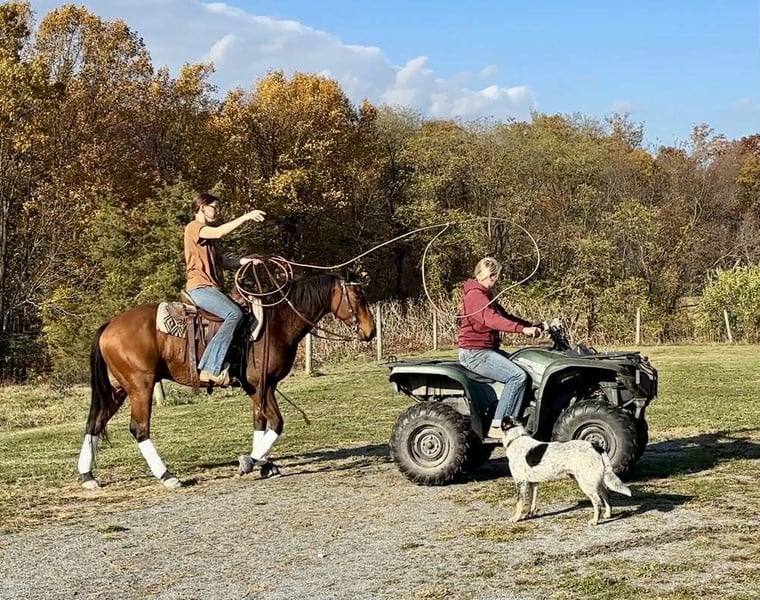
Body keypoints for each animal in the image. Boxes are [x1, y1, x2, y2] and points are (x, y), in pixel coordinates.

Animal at [77, 271, 376, 489]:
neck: (277, 323)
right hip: (141, 386)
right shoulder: (262, 385)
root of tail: (109, 326)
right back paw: (168, 476)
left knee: (94, 423)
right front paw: (251, 461)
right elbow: (277, 424)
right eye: (358, 295)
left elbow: (260, 423)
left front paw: (264, 464)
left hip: (117, 389)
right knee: (139, 429)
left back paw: (88, 476)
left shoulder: (260, 388)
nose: (371, 331)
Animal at [502, 424, 632, 525]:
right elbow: (529, 503)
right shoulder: (532, 483)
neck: (516, 439)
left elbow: (519, 503)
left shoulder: (521, 482)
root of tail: (596, 446)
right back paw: (608, 514)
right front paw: (527, 516)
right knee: (607, 496)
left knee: (597, 502)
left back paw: (595, 521)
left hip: (586, 484)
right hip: (596, 481)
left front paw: (516, 518)